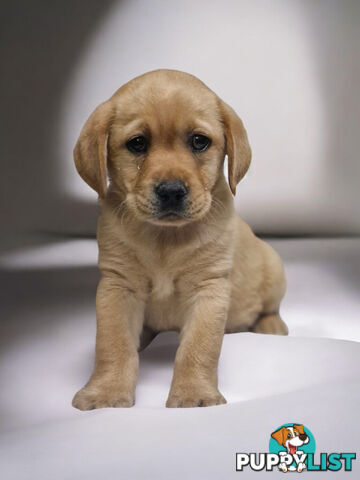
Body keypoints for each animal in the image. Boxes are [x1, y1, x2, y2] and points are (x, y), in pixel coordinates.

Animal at [72, 69, 286, 410]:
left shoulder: (208, 288)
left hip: (274, 268)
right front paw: (106, 392)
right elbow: (112, 344)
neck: (165, 239)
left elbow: (198, 348)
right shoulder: (117, 285)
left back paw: (273, 327)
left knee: (269, 308)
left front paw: (194, 394)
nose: (171, 191)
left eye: (199, 141)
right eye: (137, 144)